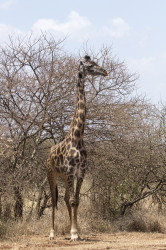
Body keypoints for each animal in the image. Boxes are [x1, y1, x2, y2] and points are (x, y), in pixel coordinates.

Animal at [46, 55, 107, 240]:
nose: (105, 71)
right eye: (90, 66)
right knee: (54, 199)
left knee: (66, 198)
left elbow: (76, 201)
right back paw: (52, 233)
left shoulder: (80, 171)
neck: (78, 138)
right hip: (51, 174)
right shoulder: (70, 170)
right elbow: (72, 201)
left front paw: (76, 232)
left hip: (64, 176)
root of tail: (48, 153)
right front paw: (73, 233)